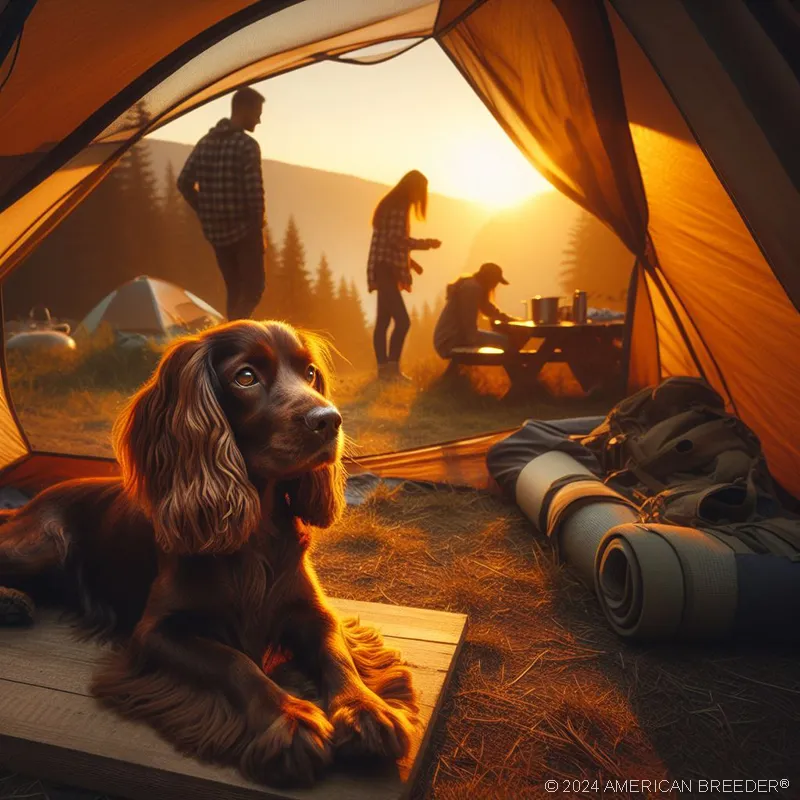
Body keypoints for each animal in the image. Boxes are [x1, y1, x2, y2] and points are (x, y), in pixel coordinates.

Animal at [0, 320, 418, 788]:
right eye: (246, 377)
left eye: (310, 373)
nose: (329, 420)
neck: (256, 533)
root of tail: (31, 502)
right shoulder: (156, 631)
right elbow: (234, 661)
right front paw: (289, 718)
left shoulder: (310, 608)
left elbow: (335, 650)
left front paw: (365, 708)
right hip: (42, 544)